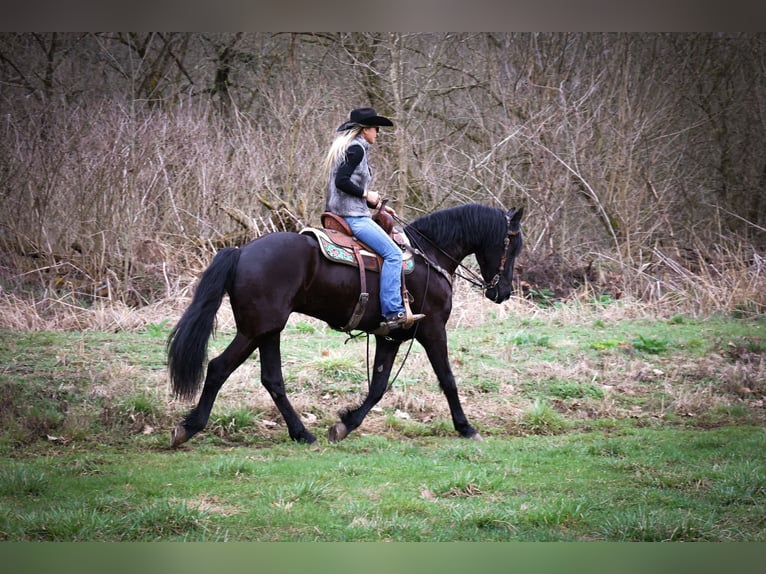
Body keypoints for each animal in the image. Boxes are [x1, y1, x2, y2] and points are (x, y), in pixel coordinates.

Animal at [170, 205, 520, 448]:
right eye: (513, 246)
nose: (502, 292)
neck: (430, 256)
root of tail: (242, 251)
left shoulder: (390, 337)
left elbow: (378, 386)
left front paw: (345, 424)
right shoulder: (433, 329)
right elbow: (448, 380)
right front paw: (466, 427)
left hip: (268, 331)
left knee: (271, 380)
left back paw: (301, 433)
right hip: (255, 330)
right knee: (219, 368)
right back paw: (188, 428)